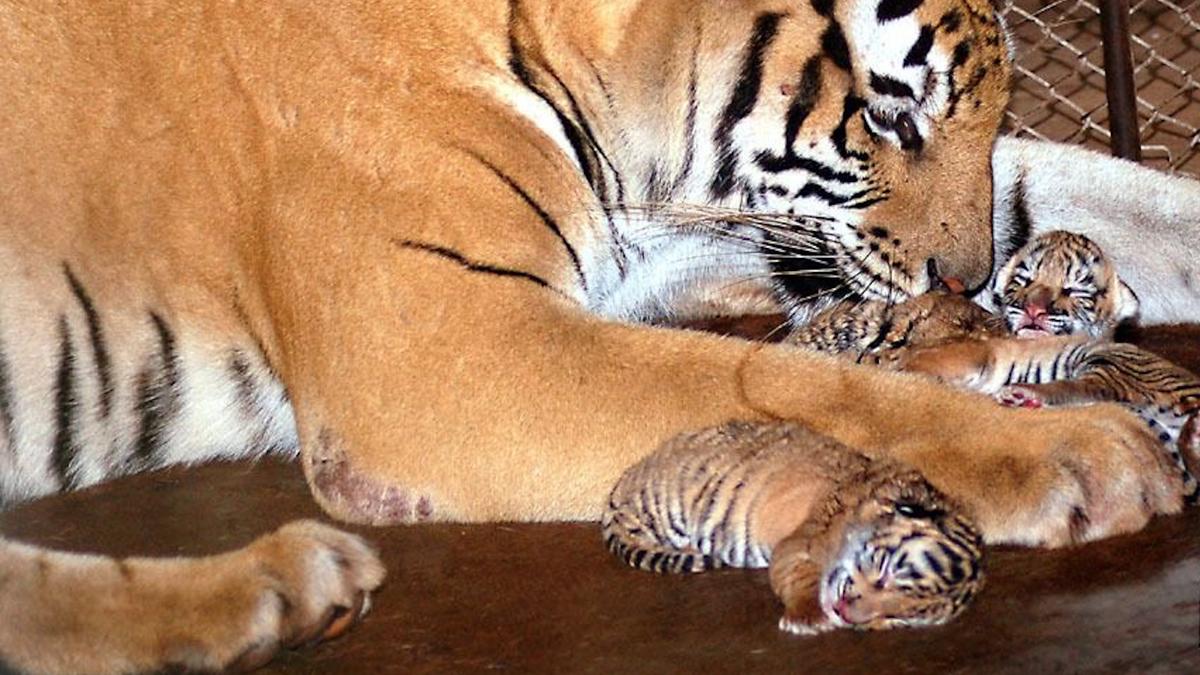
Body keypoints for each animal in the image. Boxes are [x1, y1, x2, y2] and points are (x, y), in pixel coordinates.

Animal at [0, 0, 1190, 667]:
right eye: (893, 114)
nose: (969, 277)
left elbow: (1095, 186)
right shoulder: (449, 346)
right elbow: (796, 388)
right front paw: (1071, 447)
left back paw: (280, 598)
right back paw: (277, 586)